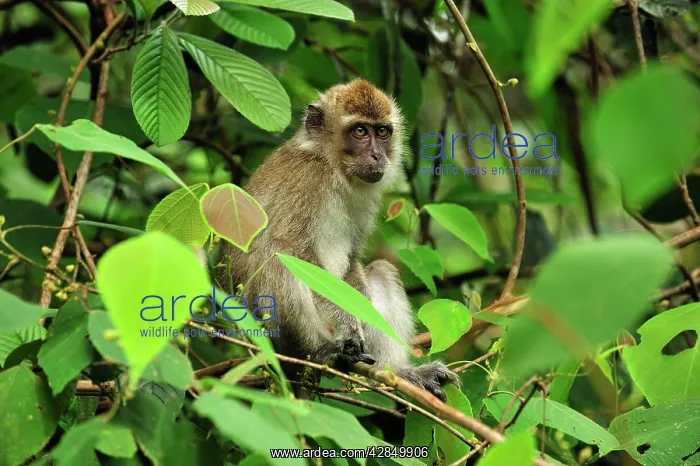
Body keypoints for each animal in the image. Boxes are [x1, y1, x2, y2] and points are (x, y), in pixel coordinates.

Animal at [219, 79, 459, 400]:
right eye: (360, 131)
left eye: (382, 131)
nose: (377, 155)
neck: (334, 168)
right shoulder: (306, 182)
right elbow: (299, 253)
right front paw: (348, 327)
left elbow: (354, 261)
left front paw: (360, 310)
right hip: (262, 330)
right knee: (278, 254)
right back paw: (323, 352)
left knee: (380, 271)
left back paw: (396, 372)